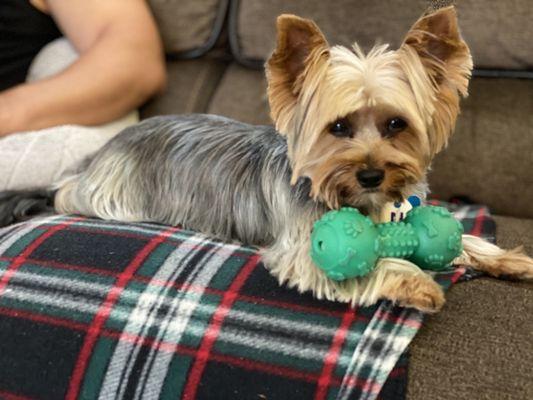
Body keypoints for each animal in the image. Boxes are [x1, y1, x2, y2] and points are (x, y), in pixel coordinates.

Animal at [1, 7, 532, 312]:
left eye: (396, 125)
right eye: (338, 128)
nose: (370, 174)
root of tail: (101, 153)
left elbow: (467, 240)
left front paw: (506, 259)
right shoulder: (301, 250)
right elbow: (364, 265)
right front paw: (416, 282)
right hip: (112, 198)